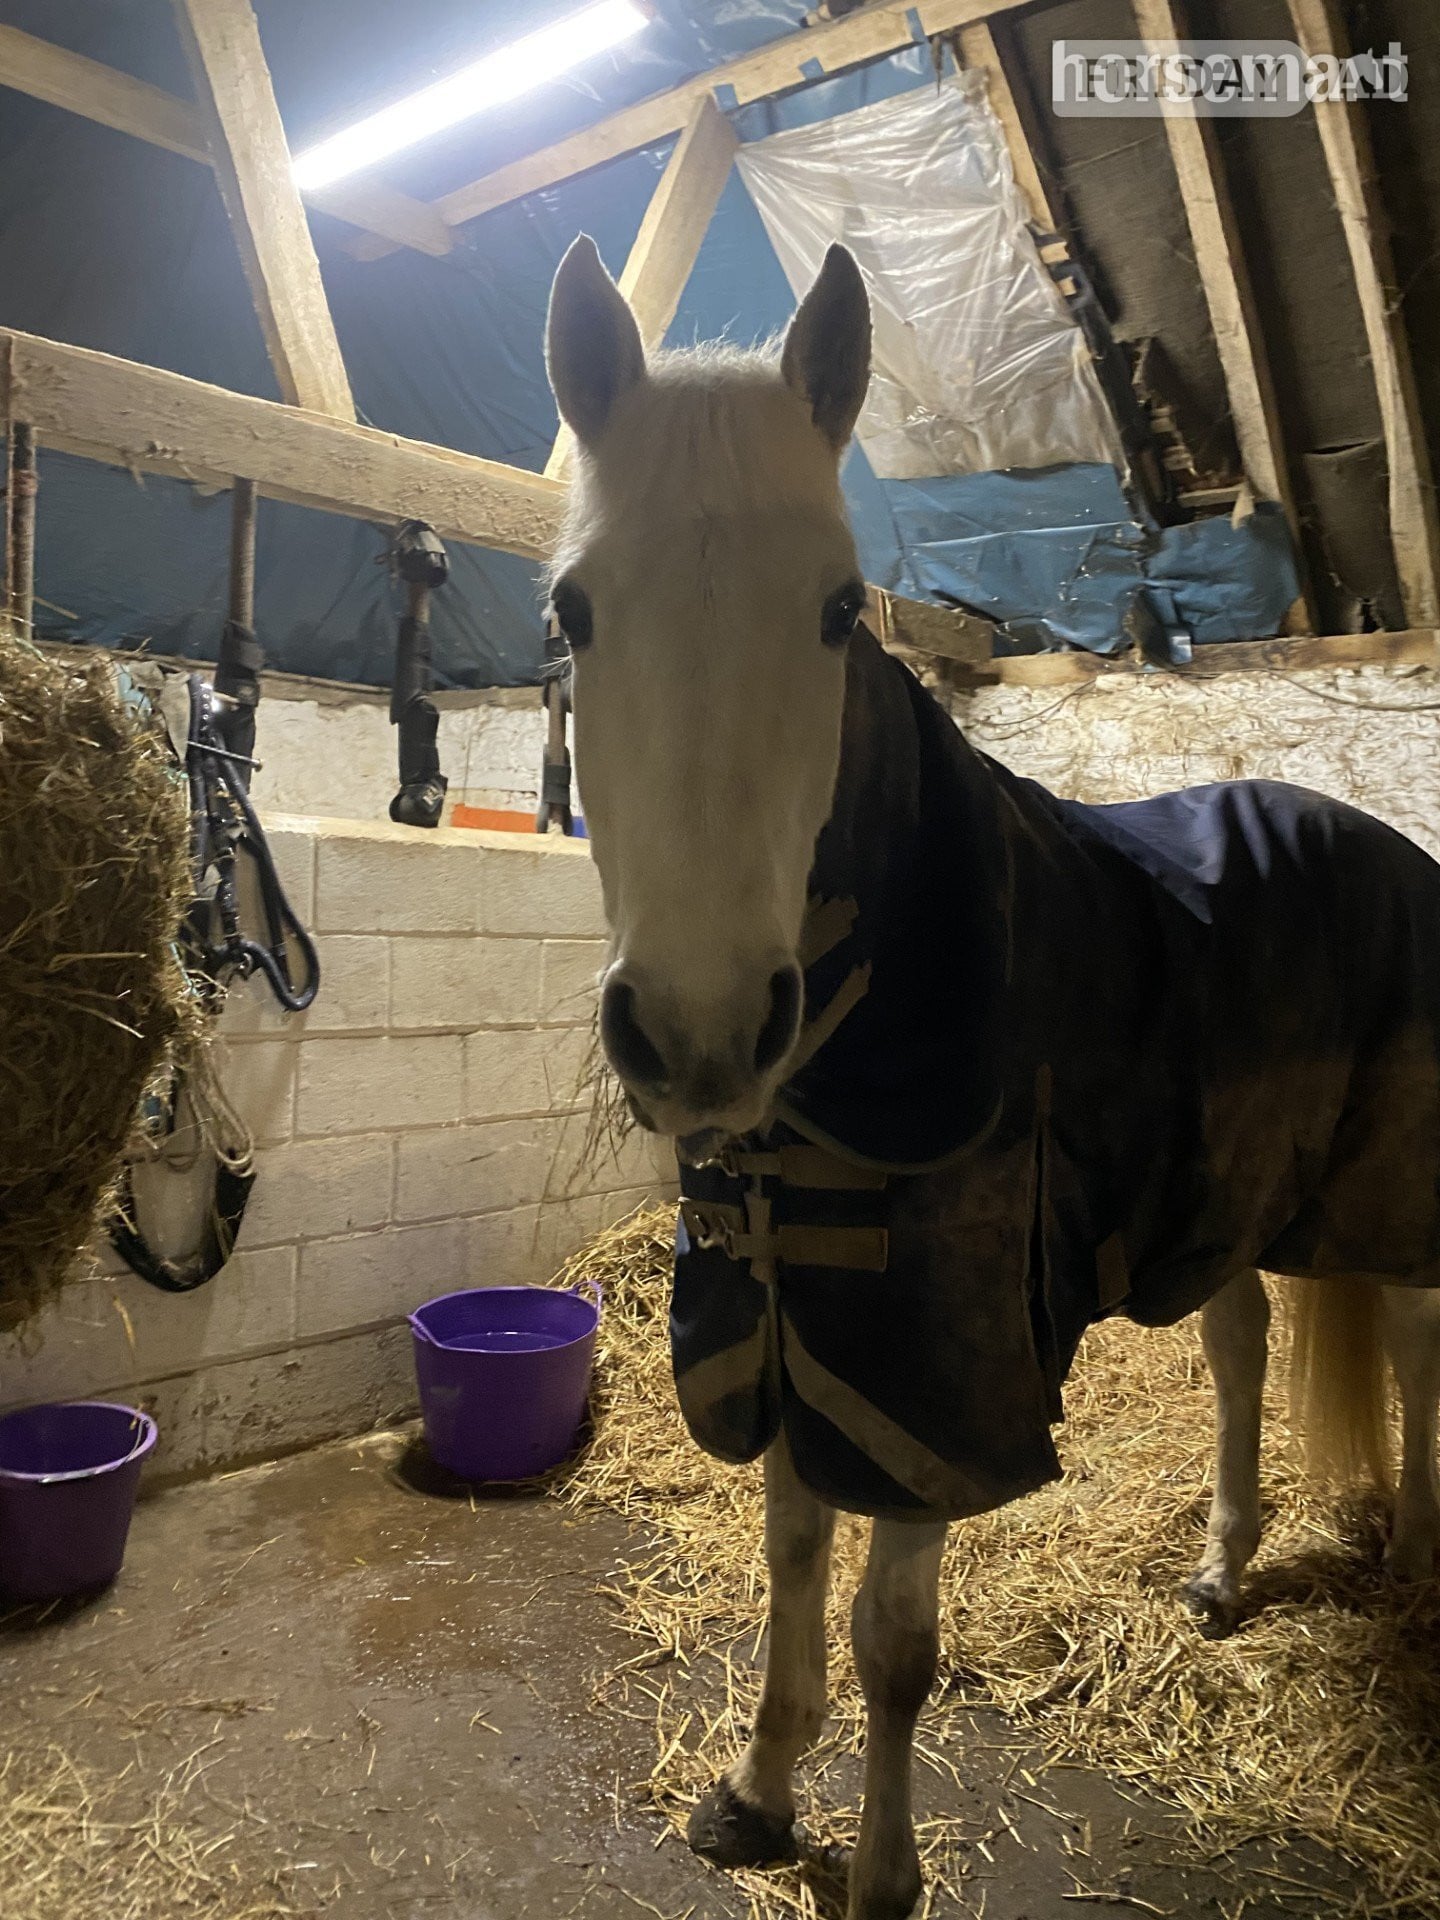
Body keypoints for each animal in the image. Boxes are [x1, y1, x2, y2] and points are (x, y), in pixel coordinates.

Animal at [542, 235, 1440, 1920]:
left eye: (841, 609)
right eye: (571, 610)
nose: (699, 1035)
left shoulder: (933, 1371)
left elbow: (892, 1639)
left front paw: (883, 1870)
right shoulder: (790, 1318)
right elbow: (792, 1561)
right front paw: (756, 1793)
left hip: (1388, 1194)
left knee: (1415, 1351)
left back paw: (1415, 1561)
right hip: (1219, 1192)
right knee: (1239, 1345)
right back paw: (1222, 1569)